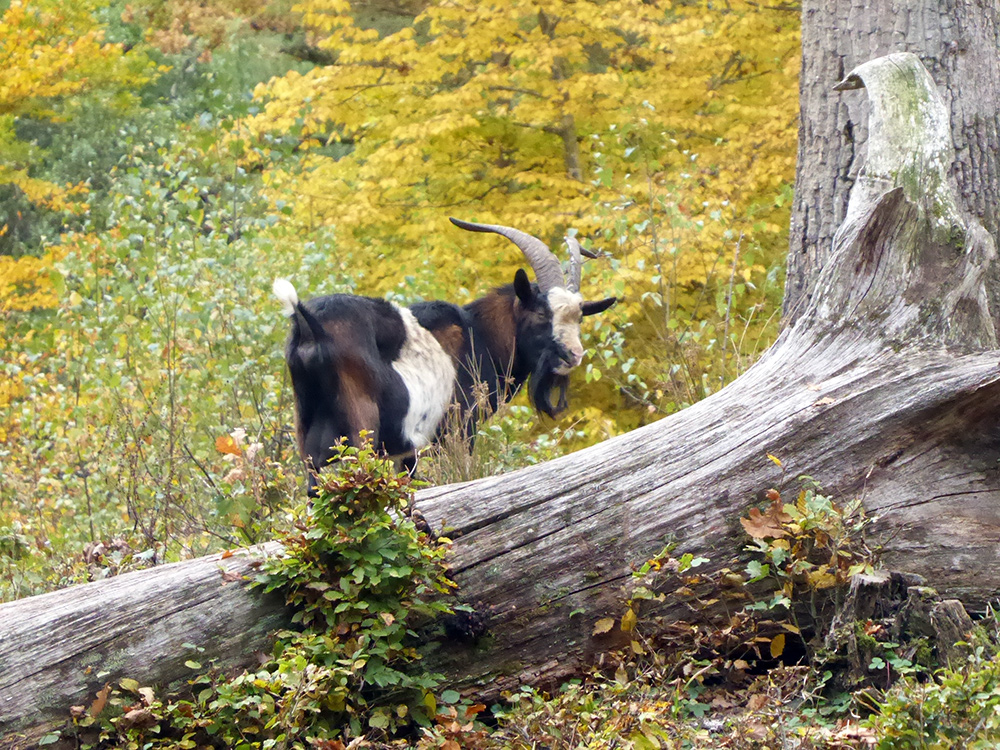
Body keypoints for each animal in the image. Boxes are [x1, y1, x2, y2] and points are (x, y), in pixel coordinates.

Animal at [274, 218, 616, 492]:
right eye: (542, 314)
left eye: (579, 318)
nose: (573, 355)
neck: (479, 336)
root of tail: (309, 323)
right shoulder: (458, 430)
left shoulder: (409, 451)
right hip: (362, 428)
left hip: (308, 432)